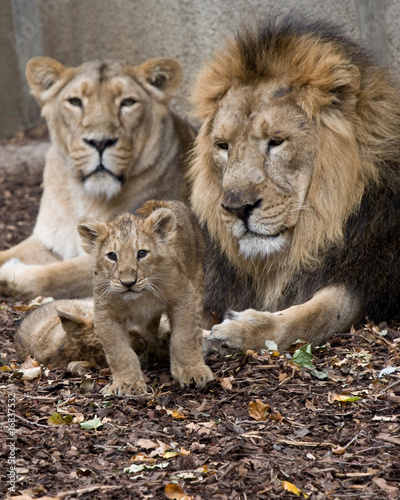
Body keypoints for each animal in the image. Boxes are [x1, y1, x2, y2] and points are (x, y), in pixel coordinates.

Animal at [0, 58, 194, 300]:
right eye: (75, 102)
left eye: (128, 102)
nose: (100, 142)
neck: (84, 196)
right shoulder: (49, 241)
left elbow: (58, 275)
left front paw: (10, 273)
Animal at [189, 16, 400, 352]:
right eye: (223, 146)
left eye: (276, 141)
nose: (237, 208)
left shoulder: (370, 275)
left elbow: (317, 314)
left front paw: (240, 330)